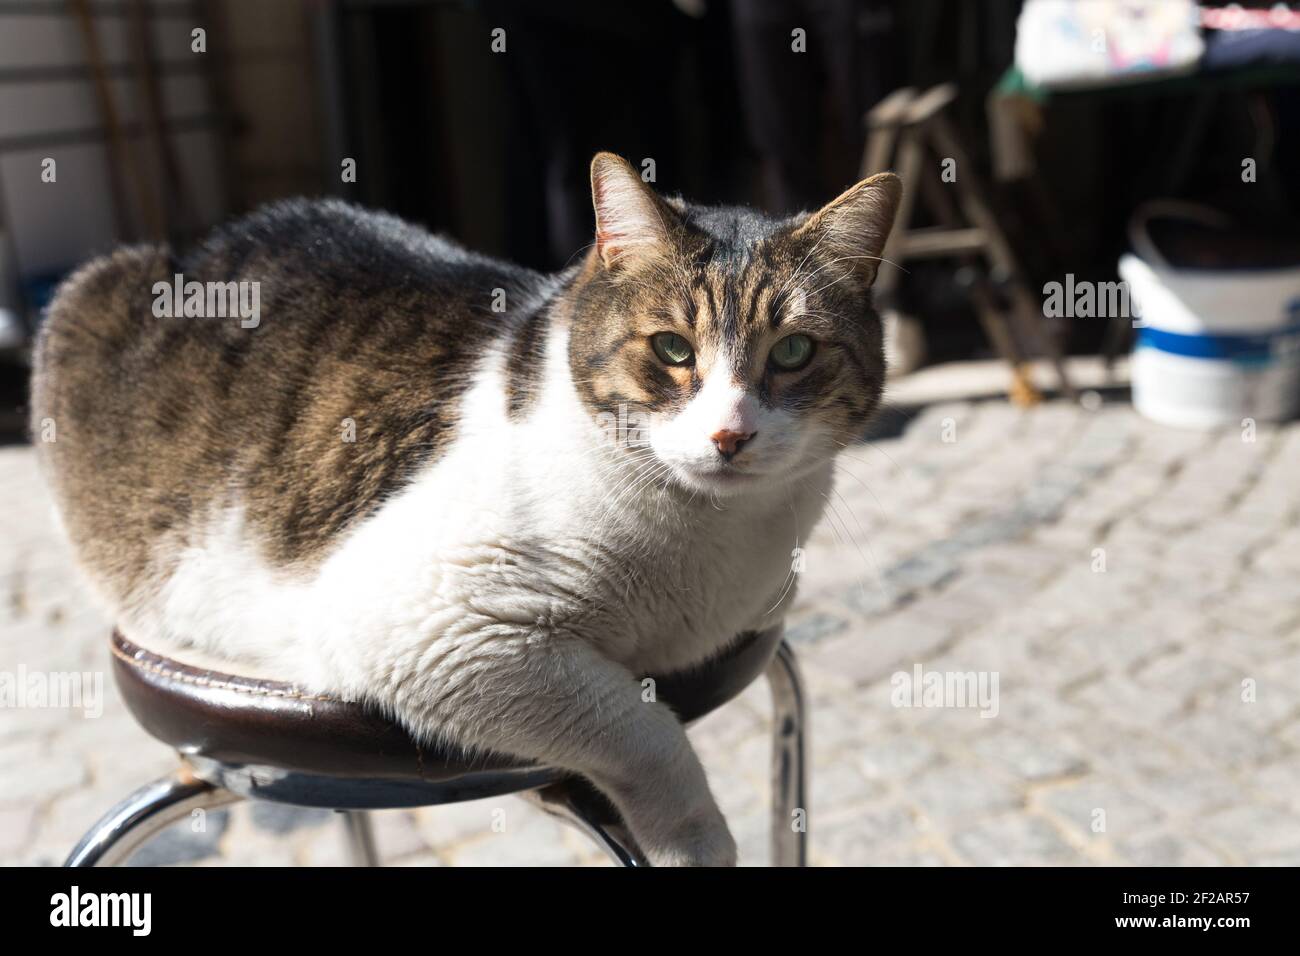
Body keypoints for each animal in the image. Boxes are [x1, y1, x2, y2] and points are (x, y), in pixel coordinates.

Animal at [32, 151, 904, 868]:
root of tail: (196, 244)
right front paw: (695, 837)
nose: (729, 434)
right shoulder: (429, 625)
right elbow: (638, 721)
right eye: (672, 350)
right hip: (83, 301)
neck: (706, 535)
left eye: (794, 353)